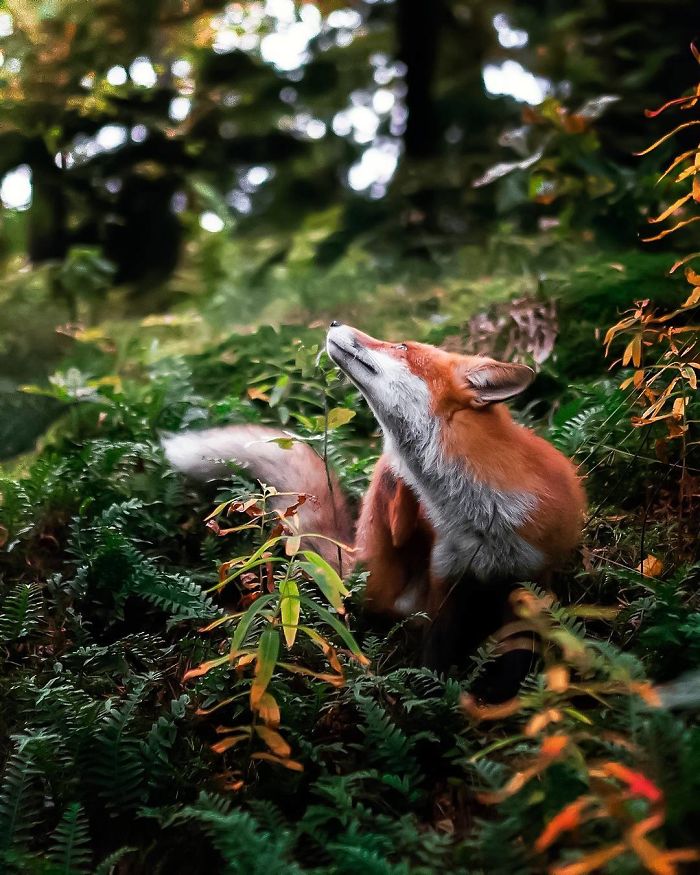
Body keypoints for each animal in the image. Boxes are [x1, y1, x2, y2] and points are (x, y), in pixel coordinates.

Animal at [163, 322, 586, 685]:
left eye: (402, 347)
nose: (334, 322)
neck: (481, 518)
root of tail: (354, 556)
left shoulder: (532, 578)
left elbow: (517, 658)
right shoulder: (445, 580)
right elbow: (434, 657)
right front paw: (435, 697)